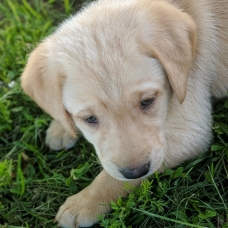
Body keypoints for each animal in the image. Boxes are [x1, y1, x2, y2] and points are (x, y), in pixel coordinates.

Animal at [20, 0, 228, 227]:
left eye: (147, 101)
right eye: (89, 119)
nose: (136, 171)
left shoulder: (190, 128)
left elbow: (112, 180)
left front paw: (83, 203)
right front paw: (61, 128)